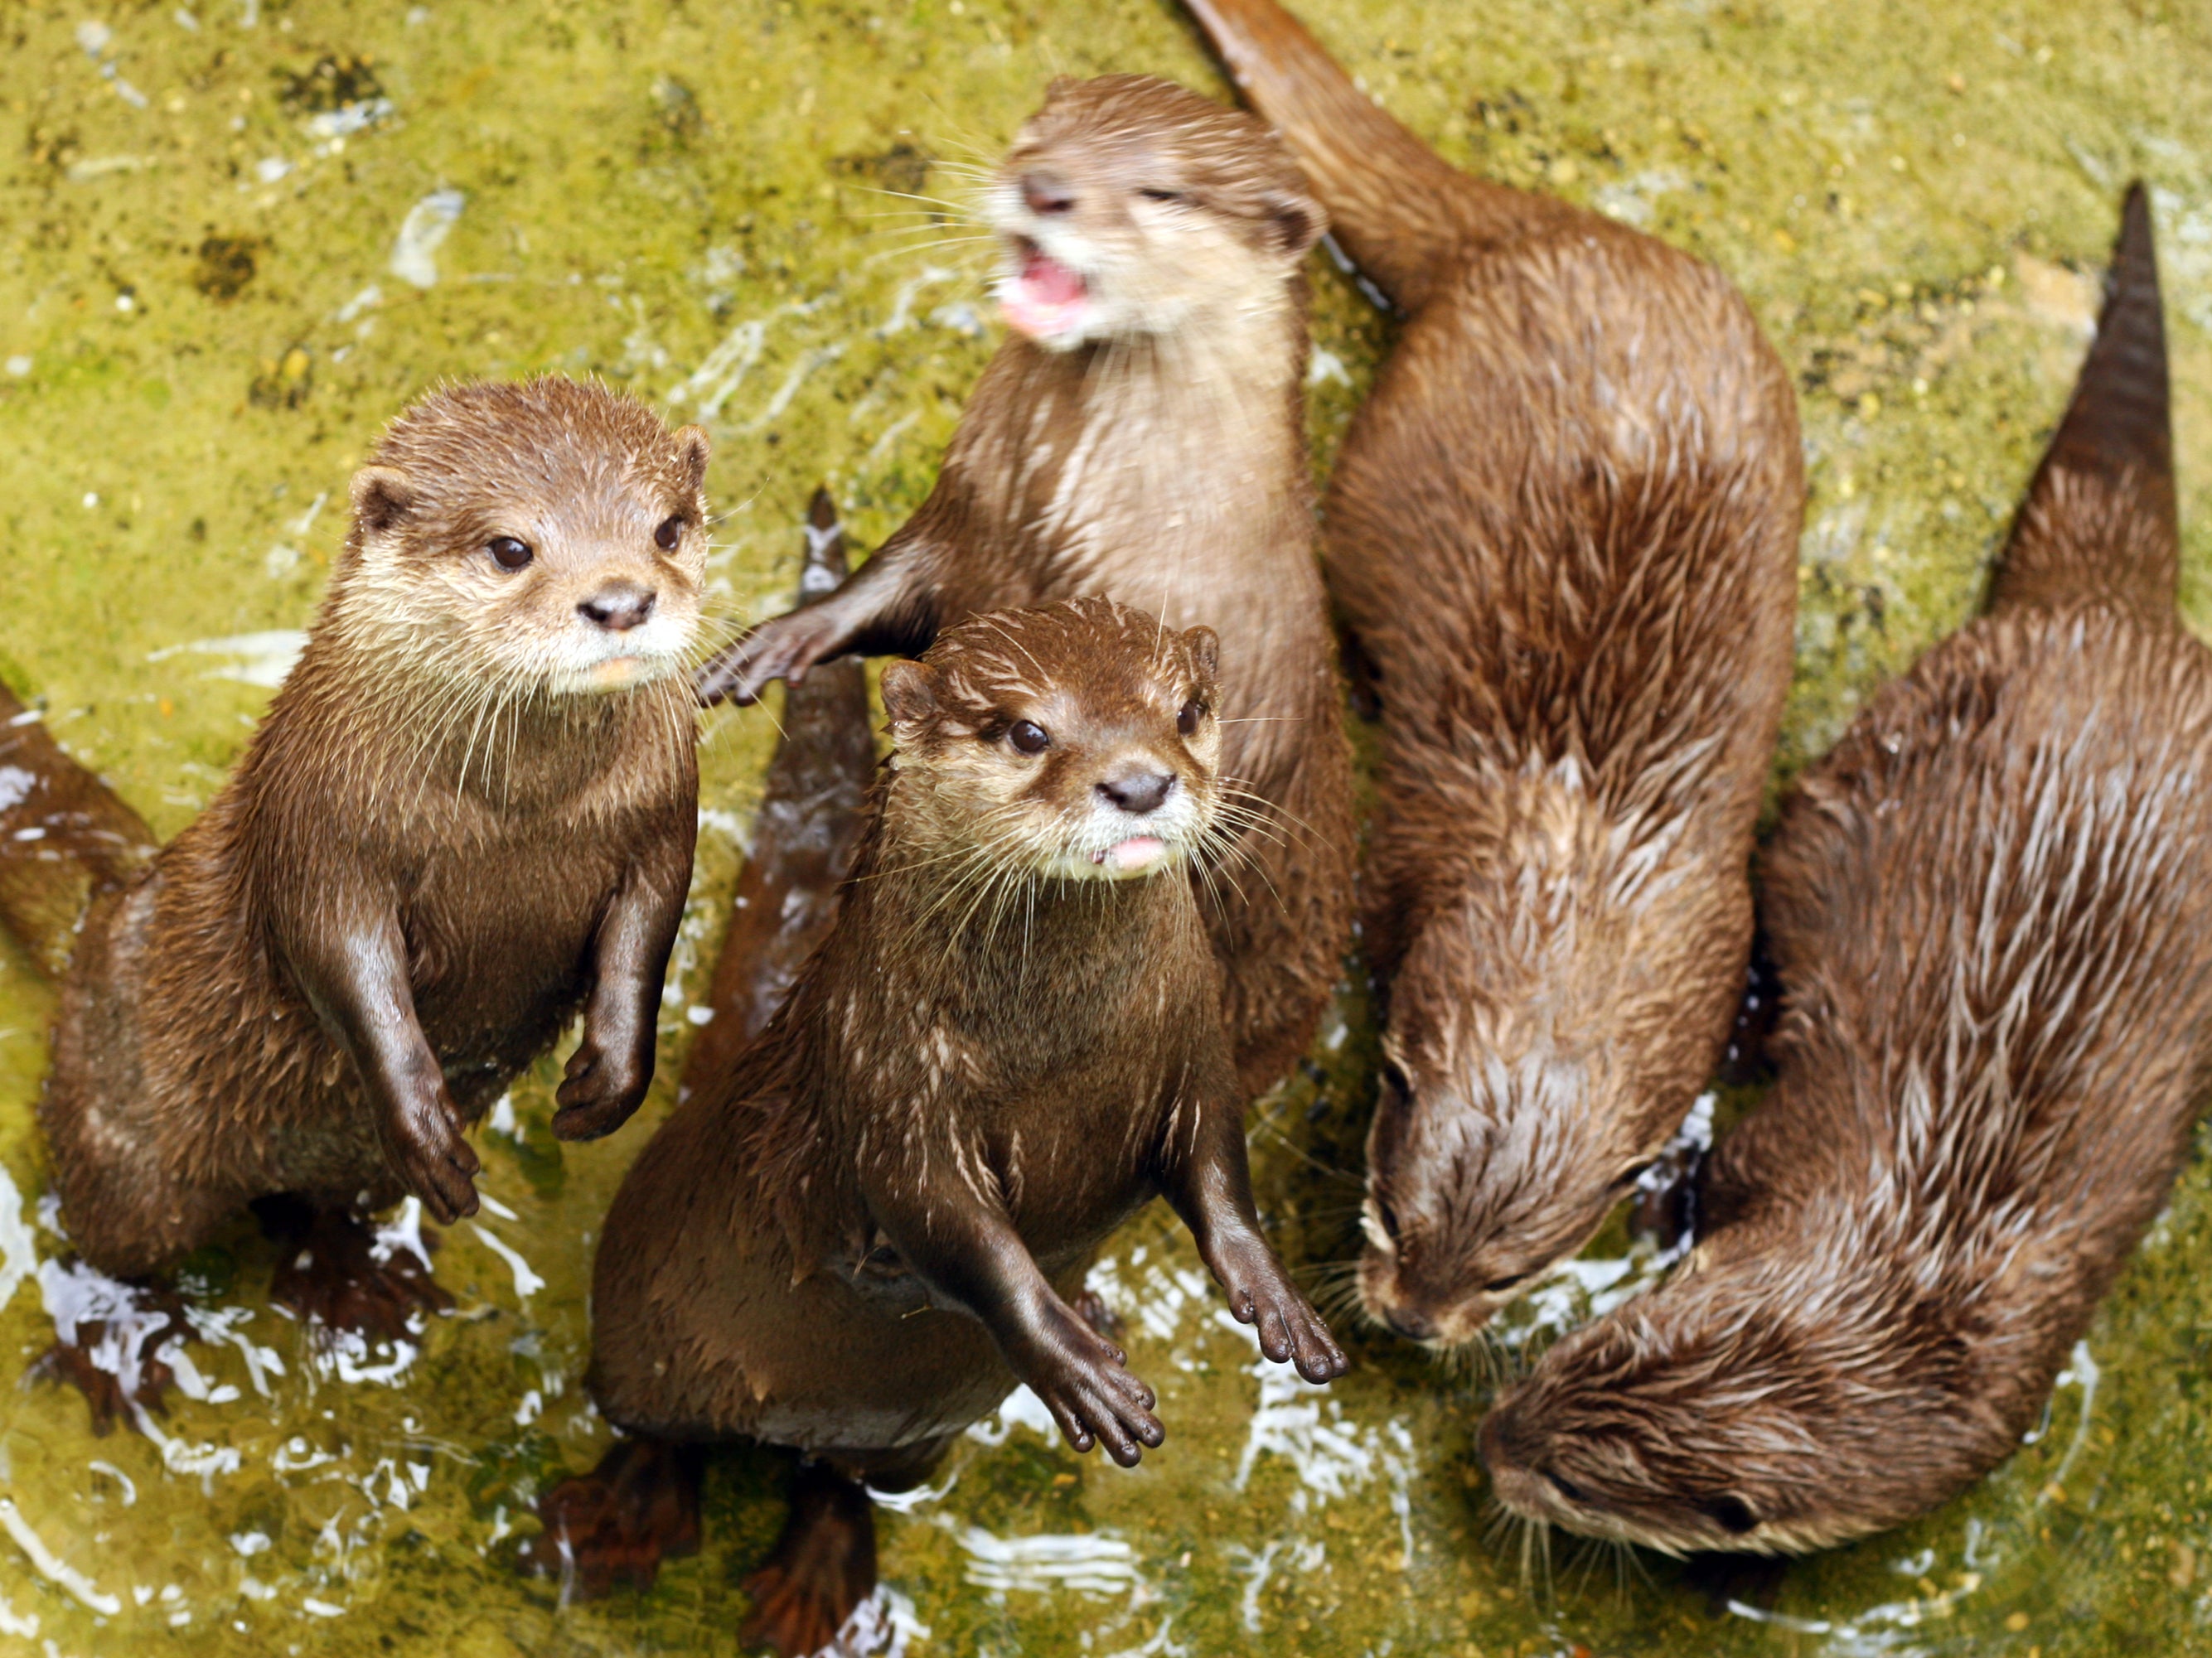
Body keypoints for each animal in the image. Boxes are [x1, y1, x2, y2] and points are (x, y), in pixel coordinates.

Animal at [690, 81, 1353, 1119]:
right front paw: (774, 643)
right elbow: (888, 592)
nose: (1044, 186)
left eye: (1162, 192)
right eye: (1036, 137)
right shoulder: (968, 522)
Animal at [1185, 0, 1804, 1352]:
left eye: (1510, 1274)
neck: (1584, 878)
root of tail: (1541, 236)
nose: (1412, 1321)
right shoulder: (1403, 852)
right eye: (1387, 1214)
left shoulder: (1719, 939)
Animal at [1469, 191, 2212, 1556]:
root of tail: (2120, 621)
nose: (1493, 1441)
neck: (1909, 1288)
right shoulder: (1794, 1155)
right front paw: (1662, 1201)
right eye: (1586, 1348)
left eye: (1581, 1478)